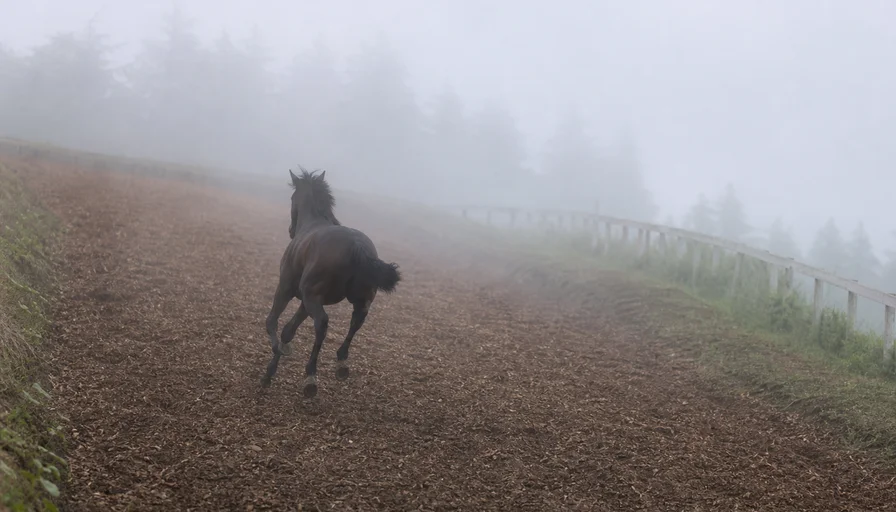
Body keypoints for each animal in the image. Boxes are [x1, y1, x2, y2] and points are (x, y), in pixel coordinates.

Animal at [261, 168, 401, 398]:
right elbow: (288, 330)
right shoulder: (305, 301)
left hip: (313, 298)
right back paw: (341, 362)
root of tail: (357, 246)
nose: (290, 230)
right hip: (359, 299)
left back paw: (311, 376)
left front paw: (273, 363)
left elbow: (272, 322)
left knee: (322, 324)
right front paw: (272, 368)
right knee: (357, 320)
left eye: (291, 198)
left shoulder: (287, 289)